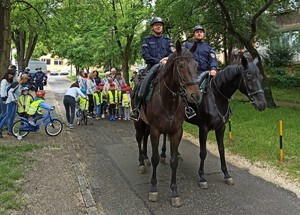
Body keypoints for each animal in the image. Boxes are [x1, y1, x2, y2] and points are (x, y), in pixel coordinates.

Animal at [134, 40, 200, 207]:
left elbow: (174, 161)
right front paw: (153, 189)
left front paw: (174, 192)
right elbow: (155, 158)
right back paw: (141, 163)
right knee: (139, 139)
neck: (168, 99)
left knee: (144, 138)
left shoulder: (176, 131)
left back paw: (144, 158)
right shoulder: (156, 130)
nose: (195, 95)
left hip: (147, 125)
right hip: (139, 123)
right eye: (181, 65)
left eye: (196, 65)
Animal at [185, 55, 268, 188]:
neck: (215, 96)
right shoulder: (203, 128)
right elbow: (203, 152)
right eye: (249, 77)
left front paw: (226, 174)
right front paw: (202, 177)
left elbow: (221, 149)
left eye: (260, 77)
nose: (262, 104)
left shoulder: (221, 128)